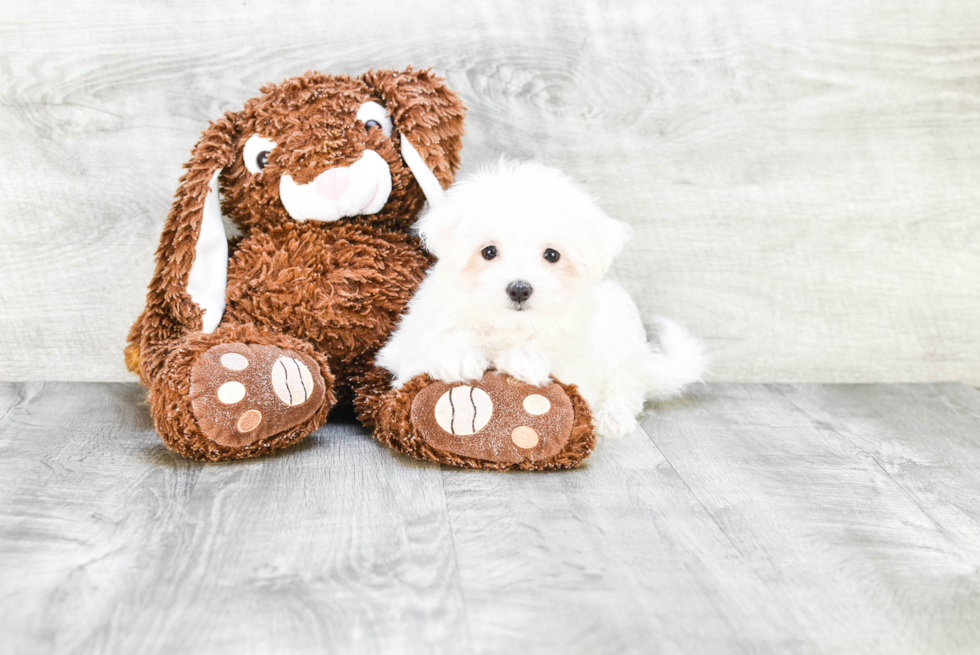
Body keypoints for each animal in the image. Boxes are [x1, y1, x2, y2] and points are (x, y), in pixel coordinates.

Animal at [376, 158, 704, 436]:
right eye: (489, 252)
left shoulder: (578, 360)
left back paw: (612, 415)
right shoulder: (403, 345)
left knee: (627, 386)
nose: (520, 288)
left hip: (619, 343)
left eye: (552, 255)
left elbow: (556, 359)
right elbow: (426, 348)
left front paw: (524, 359)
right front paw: (457, 355)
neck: (507, 326)